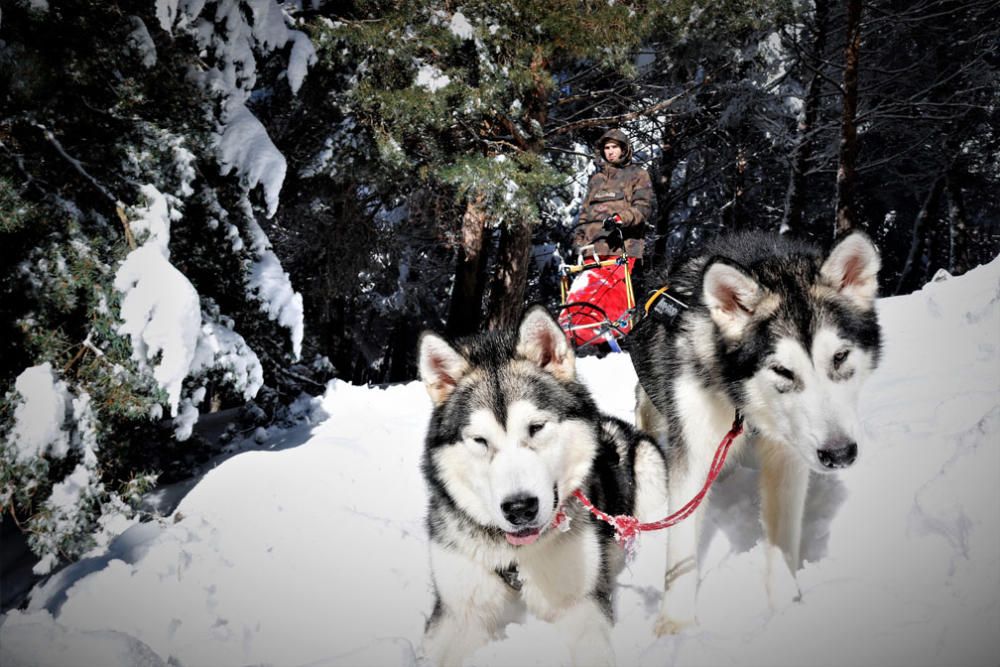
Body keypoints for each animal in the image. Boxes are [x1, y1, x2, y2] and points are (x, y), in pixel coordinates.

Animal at [418, 308, 668, 667]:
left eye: (536, 428)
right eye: (480, 440)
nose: (520, 508)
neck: (515, 559)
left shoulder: (583, 604)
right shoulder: (455, 613)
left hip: (648, 470)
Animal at [632, 232, 884, 636]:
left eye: (840, 357)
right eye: (782, 370)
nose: (840, 453)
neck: (745, 403)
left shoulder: (789, 455)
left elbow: (784, 535)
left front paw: (786, 607)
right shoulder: (694, 452)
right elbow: (682, 550)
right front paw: (677, 623)